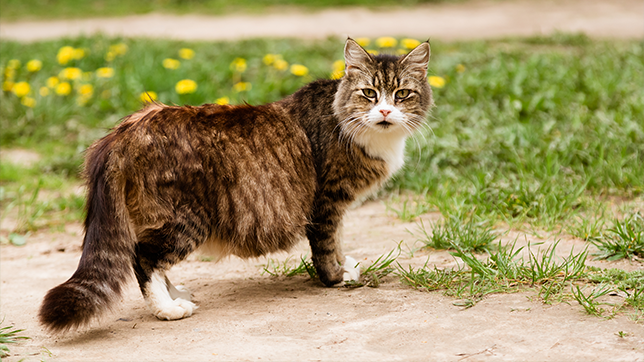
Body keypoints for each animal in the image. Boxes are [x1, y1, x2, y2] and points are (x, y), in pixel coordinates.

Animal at [40, 38, 432, 332]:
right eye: (369, 93)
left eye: (401, 94)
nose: (385, 112)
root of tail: (127, 130)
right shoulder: (327, 202)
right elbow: (325, 246)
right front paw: (336, 278)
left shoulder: (335, 208)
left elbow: (337, 242)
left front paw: (344, 265)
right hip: (185, 218)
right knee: (144, 258)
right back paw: (168, 309)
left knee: (154, 260)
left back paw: (177, 294)